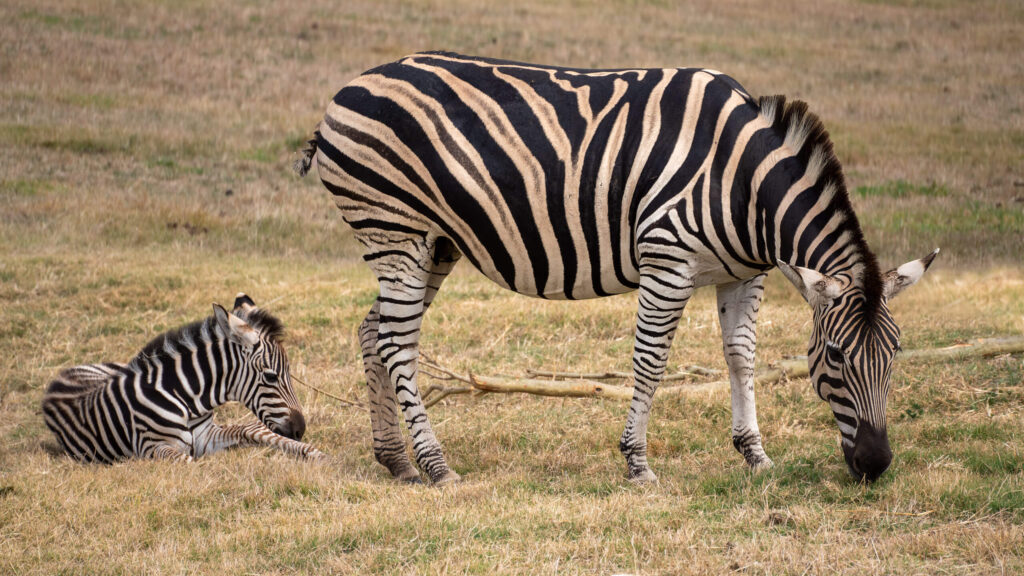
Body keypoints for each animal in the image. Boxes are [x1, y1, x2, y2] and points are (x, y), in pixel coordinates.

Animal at [40, 293, 323, 459]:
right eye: (271, 377)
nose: (300, 430)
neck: (187, 398)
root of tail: (61, 376)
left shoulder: (206, 437)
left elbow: (247, 431)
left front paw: (313, 453)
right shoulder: (152, 446)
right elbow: (191, 462)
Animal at [294, 52, 937, 483]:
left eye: (897, 352)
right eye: (835, 357)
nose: (876, 465)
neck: (745, 184)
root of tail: (348, 88)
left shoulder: (744, 272)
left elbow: (741, 357)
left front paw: (754, 453)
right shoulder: (667, 260)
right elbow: (650, 362)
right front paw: (637, 463)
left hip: (434, 242)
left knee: (373, 330)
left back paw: (395, 461)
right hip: (393, 229)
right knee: (398, 342)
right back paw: (435, 464)